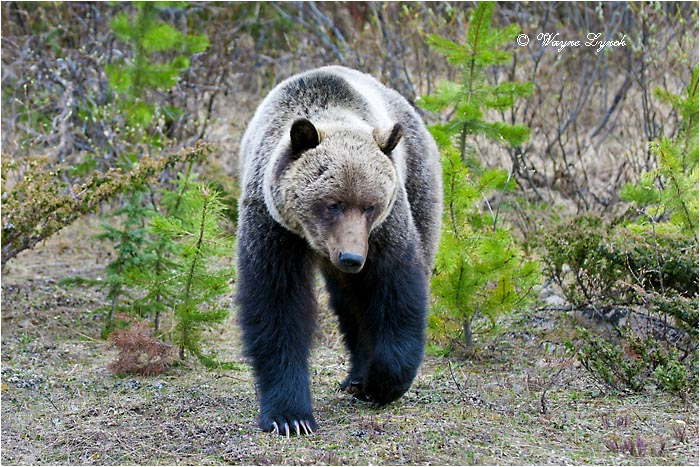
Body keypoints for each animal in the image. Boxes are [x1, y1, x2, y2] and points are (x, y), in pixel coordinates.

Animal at [236, 65, 442, 436]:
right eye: (332, 203)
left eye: (370, 206)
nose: (352, 258)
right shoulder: (273, 228)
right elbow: (276, 306)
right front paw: (291, 416)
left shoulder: (385, 230)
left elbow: (396, 292)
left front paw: (379, 382)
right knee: (349, 305)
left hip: (420, 184)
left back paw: (358, 377)